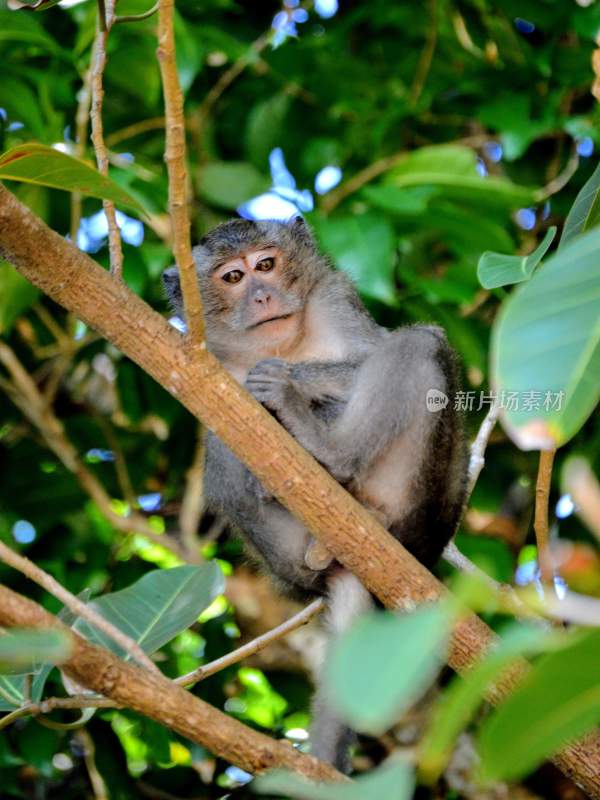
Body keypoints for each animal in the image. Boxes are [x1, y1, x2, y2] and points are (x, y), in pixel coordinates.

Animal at [163, 216, 468, 772]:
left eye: (266, 264)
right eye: (232, 277)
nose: (262, 295)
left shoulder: (334, 295)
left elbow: (370, 354)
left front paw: (292, 380)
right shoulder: (205, 366)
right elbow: (217, 428)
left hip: (418, 490)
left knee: (417, 346)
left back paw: (325, 446)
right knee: (220, 450)